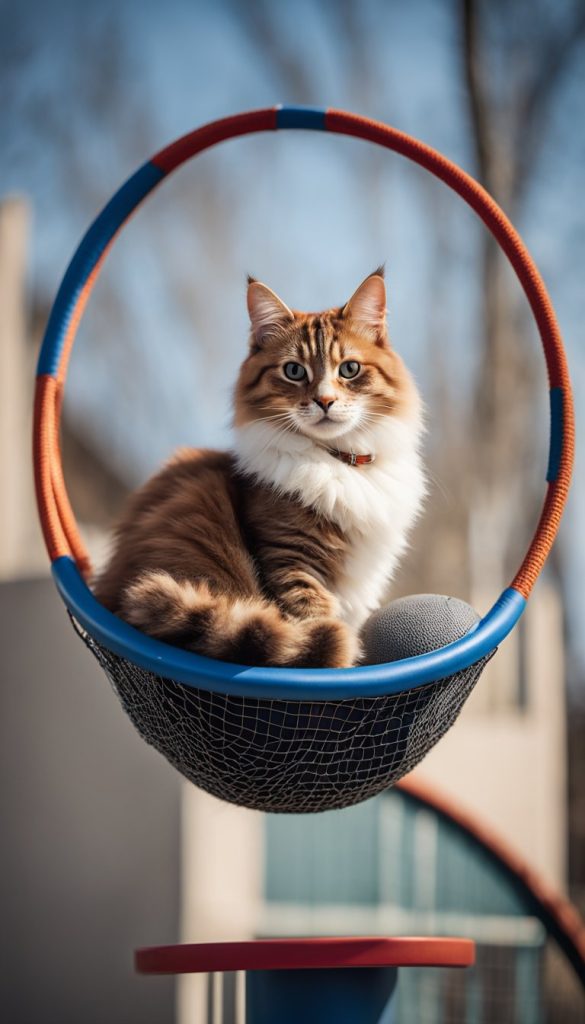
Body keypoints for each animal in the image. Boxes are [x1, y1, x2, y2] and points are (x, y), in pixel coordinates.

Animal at [94, 268, 426, 667]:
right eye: (294, 371)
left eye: (349, 369)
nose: (325, 401)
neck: (339, 461)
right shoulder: (290, 559)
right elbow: (319, 624)